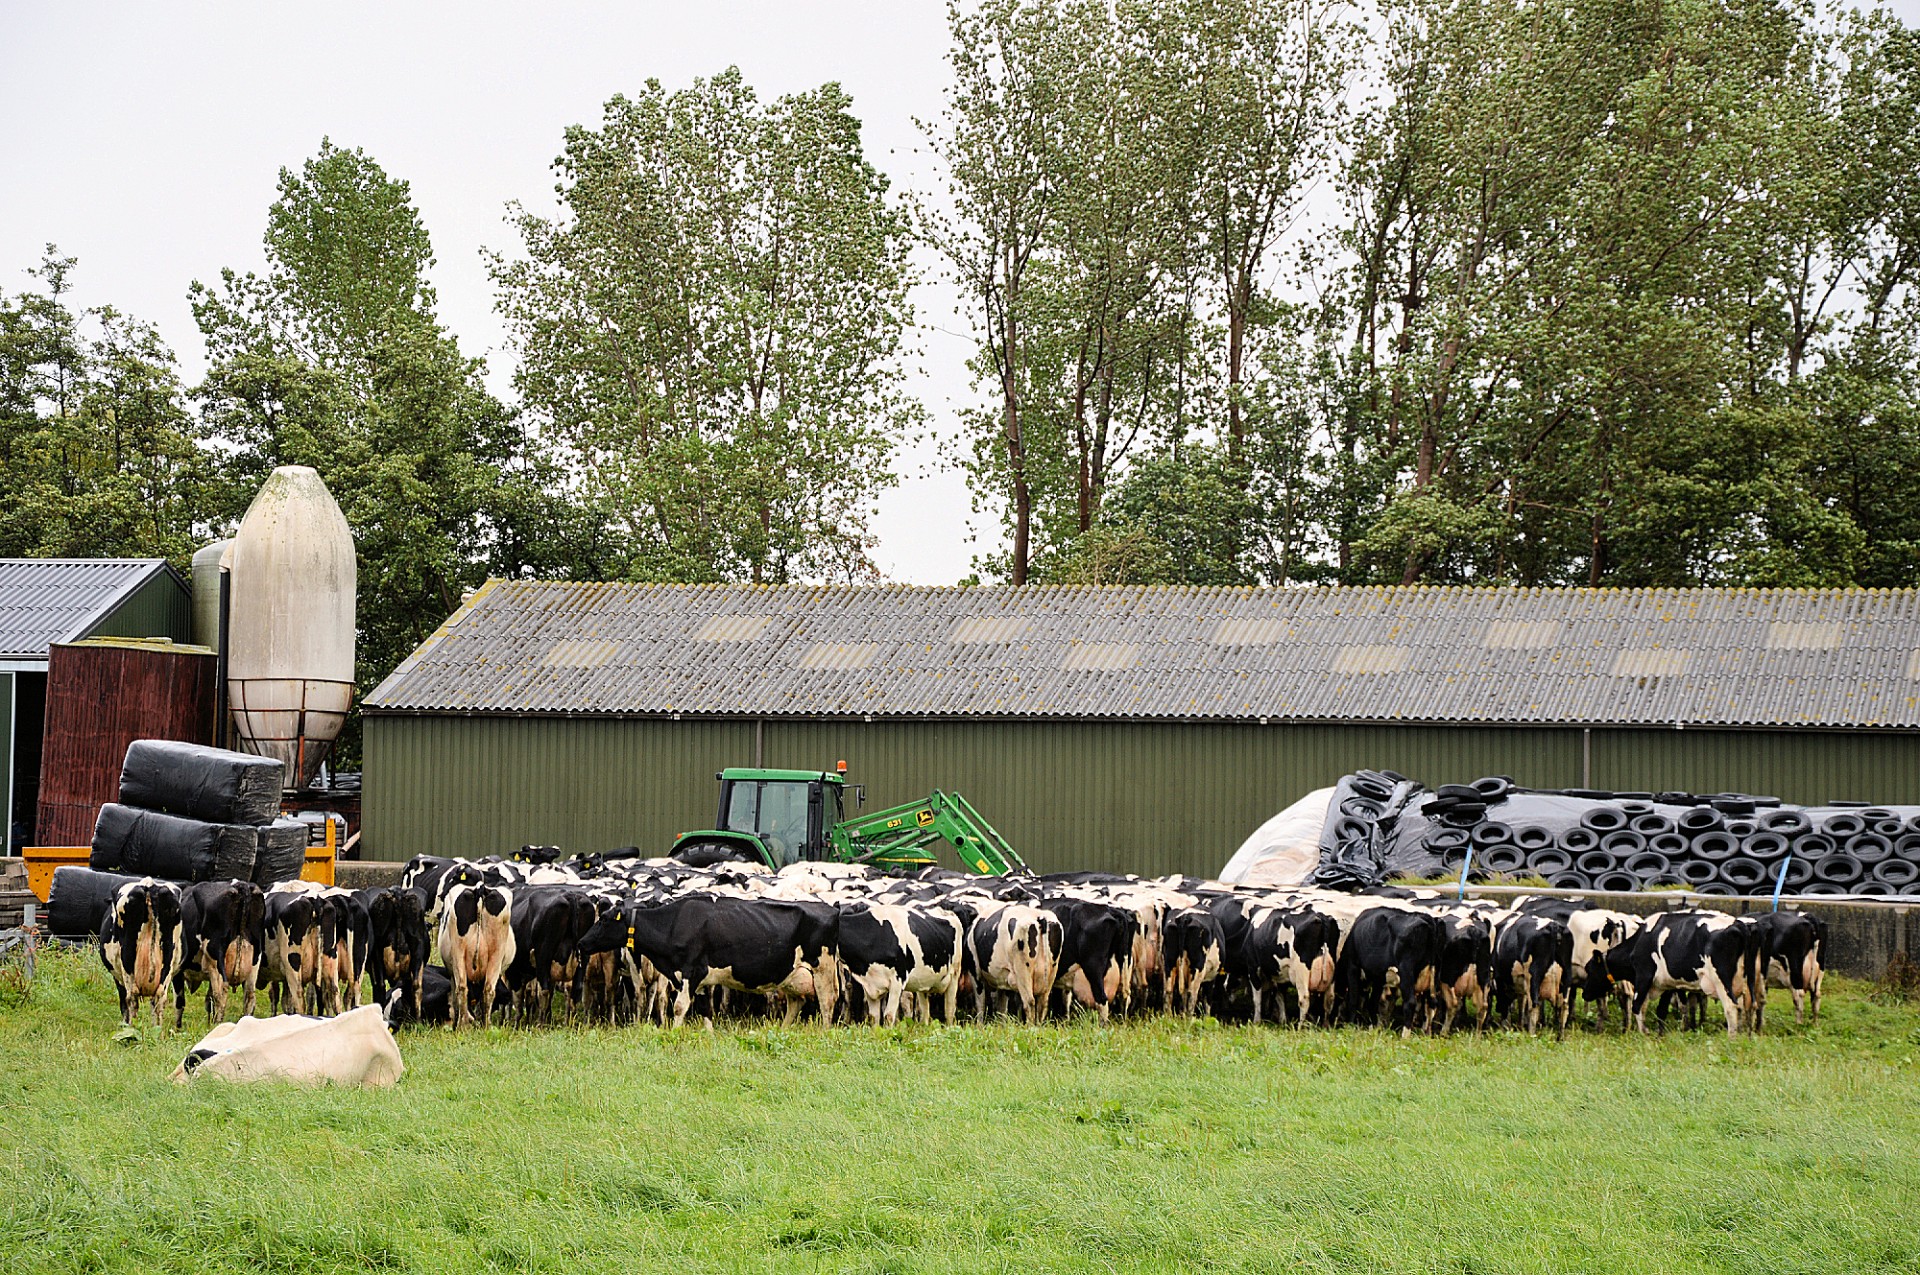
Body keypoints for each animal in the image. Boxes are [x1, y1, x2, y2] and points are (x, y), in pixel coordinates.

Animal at [100, 875, 186, 1029]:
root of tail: (149, 885)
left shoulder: (118, 977)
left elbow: (124, 1004)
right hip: (167, 962)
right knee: (159, 998)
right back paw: (157, 1030)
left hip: (127, 962)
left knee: (131, 998)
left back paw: (131, 1028)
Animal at [172, 883, 266, 1029]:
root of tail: (241, 886)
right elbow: (208, 1000)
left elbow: (179, 1001)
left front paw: (177, 1027)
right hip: (255, 958)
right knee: (250, 995)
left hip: (215, 958)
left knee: (222, 991)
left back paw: (217, 1023)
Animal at [437, 883, 518, 1029]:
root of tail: (480, 888)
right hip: (495, 954)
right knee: (485, 989)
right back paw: (483, 1026)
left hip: (460, 952)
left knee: (465, 988)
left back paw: (464, 1026)